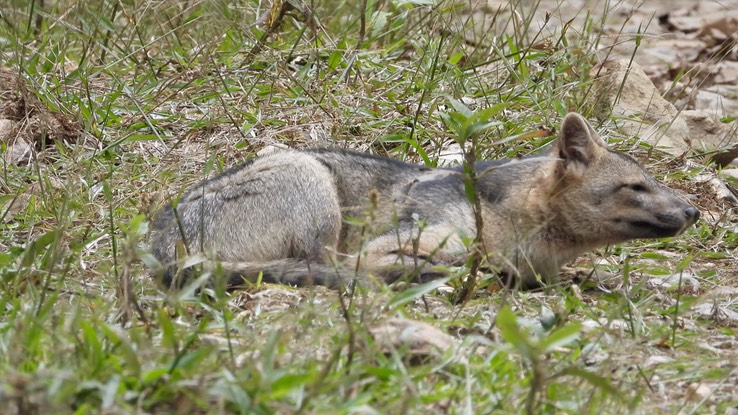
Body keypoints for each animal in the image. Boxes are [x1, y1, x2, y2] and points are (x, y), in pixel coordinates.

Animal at [148, 112, 696, 290]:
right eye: (637, 186)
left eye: (652, 182)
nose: (694, 210)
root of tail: (158, 242)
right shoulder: (384, 247)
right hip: (313, 182)